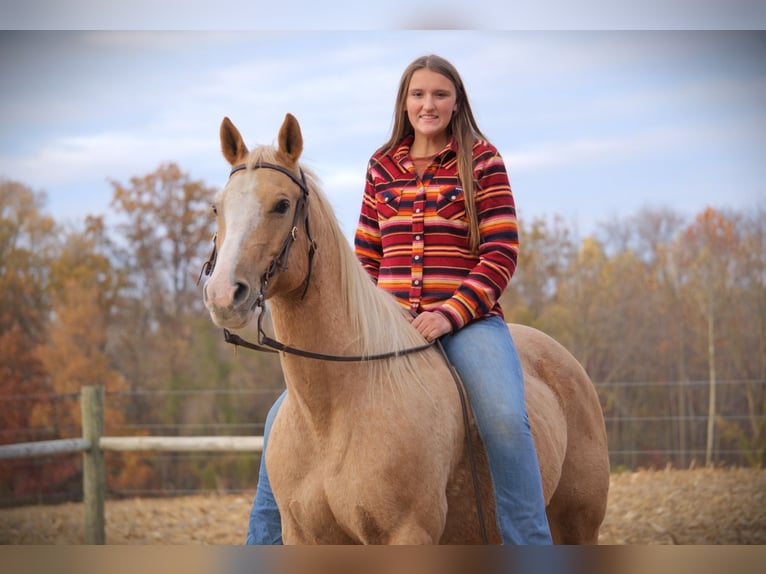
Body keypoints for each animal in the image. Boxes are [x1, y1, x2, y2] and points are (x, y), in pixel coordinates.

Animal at [202, 113, 609, 544]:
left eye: (281, 205)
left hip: (579, 525)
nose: (223, 294)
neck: (336, 412)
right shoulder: (305, 537)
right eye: (217, 208)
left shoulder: (407, 532)